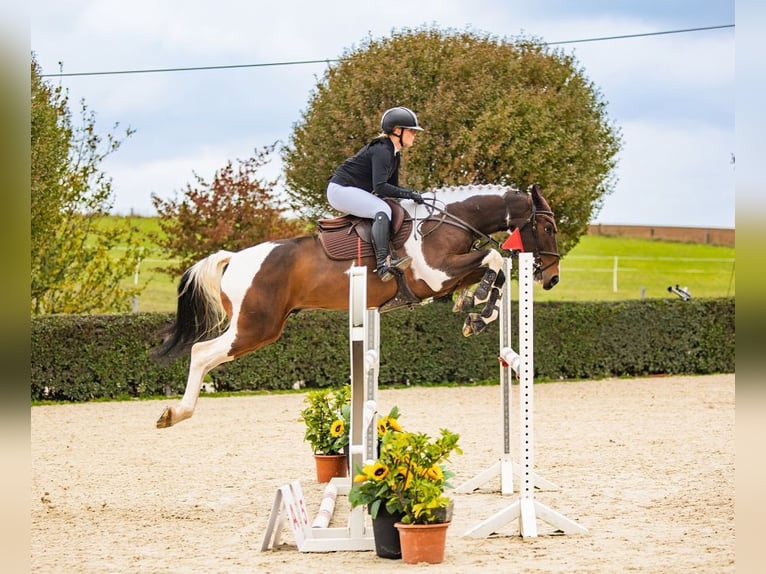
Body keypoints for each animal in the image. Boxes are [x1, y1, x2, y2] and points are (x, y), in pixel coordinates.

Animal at [154, 183, 560, 428]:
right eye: (548, 228)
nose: (552, 277)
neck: (450, 222)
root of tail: (233, 258)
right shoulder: (435, 275)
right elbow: (493, 257)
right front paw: (477, 304)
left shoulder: (448, 277)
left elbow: (495, 267)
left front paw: (477, 313)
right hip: (255, 328)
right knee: (202, 352)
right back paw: (175, 413)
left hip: (256, 327)